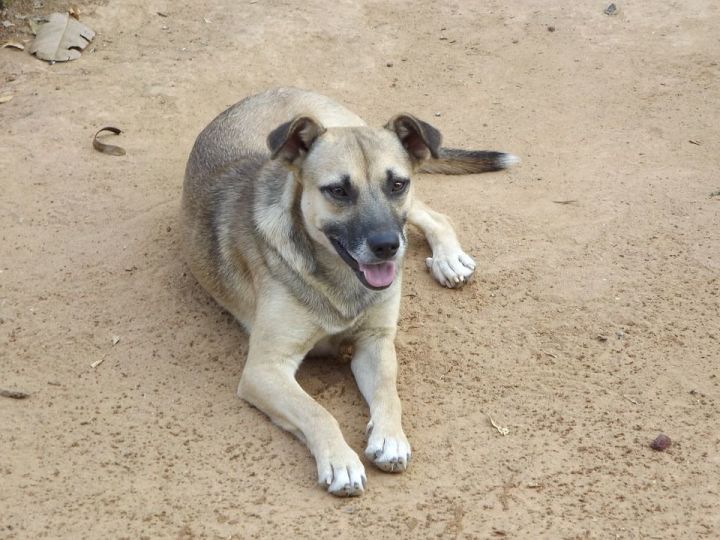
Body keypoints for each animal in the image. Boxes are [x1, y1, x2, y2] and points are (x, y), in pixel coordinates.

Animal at [180, 86, 516, 496]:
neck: (340, 279)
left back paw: (448, 258)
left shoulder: (375, 341)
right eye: (338, 190)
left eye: (397, 184)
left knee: (434, 215)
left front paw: (390, 437)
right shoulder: (264, 369)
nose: (387, 246)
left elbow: (388, 391)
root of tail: (278, 89)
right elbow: (317, 412)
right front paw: (340, 461)